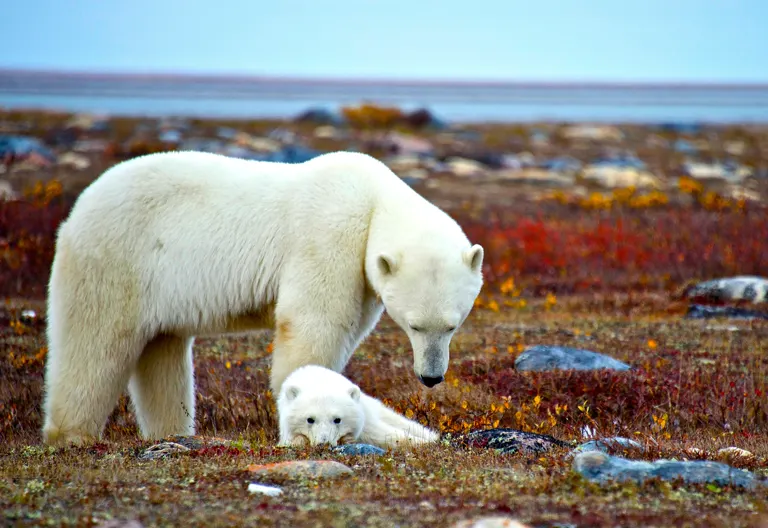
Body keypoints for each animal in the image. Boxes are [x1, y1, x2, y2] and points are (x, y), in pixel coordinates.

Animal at [277, 365, 439, 448]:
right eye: (310, 419)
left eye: (337, 419)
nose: (324, 443)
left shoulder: (363, 420)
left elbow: (384, 435)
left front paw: (423, 442)